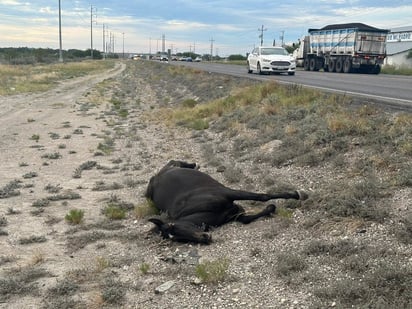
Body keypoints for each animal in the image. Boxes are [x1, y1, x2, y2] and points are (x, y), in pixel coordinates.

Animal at [146, 159, 308, 243]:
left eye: (173, 227)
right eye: (177, 239)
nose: (206, 238)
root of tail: (156, 179)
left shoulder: (229, 193)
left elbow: (261, 196)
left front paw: (298, 194)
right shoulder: (234, 213)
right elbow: (247, 219)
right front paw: (271, 208)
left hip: (163, 173)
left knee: (172, 161)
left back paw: (192, 164)